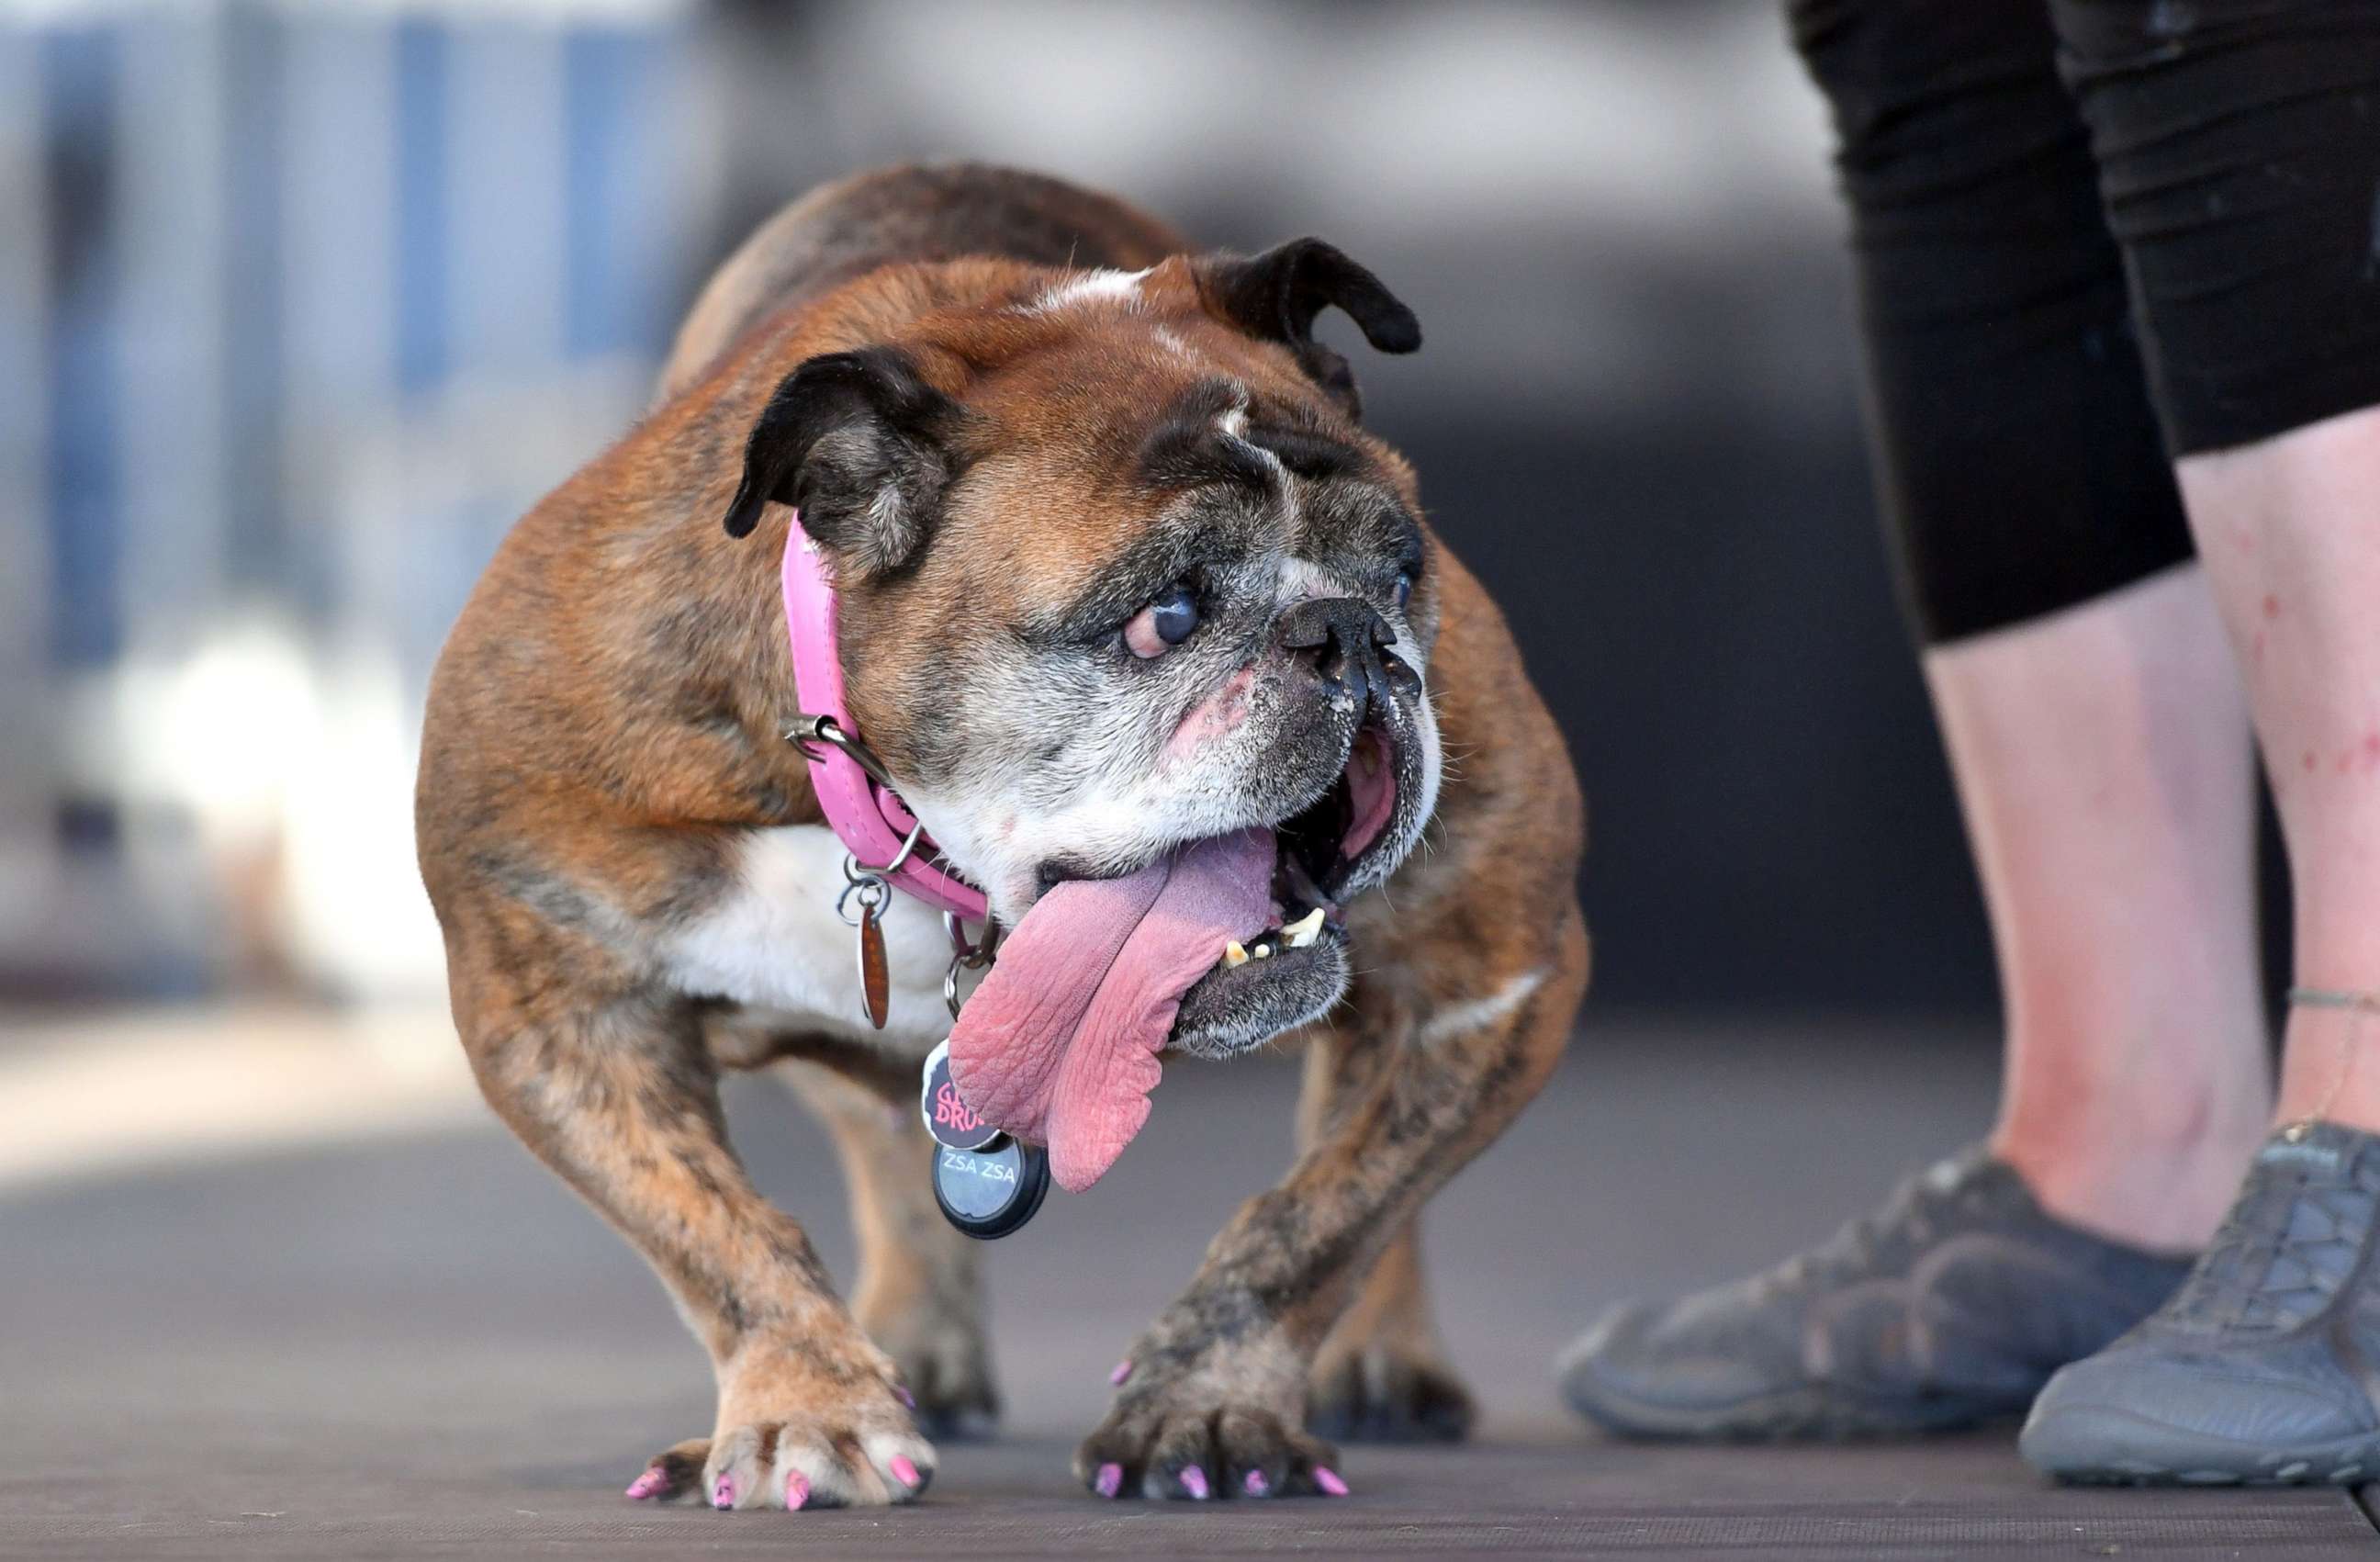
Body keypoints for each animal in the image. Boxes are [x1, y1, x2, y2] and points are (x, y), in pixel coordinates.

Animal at [419, 163, 1589, 1504]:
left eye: (1401, 575)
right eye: (1164, 616)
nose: (1350, 636)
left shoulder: (1489, 971)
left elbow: (1322, 1217)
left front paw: (1207, 1403)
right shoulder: (554, 1008)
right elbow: (715, 1233)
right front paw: (808, 1407)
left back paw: (1385, 1357)